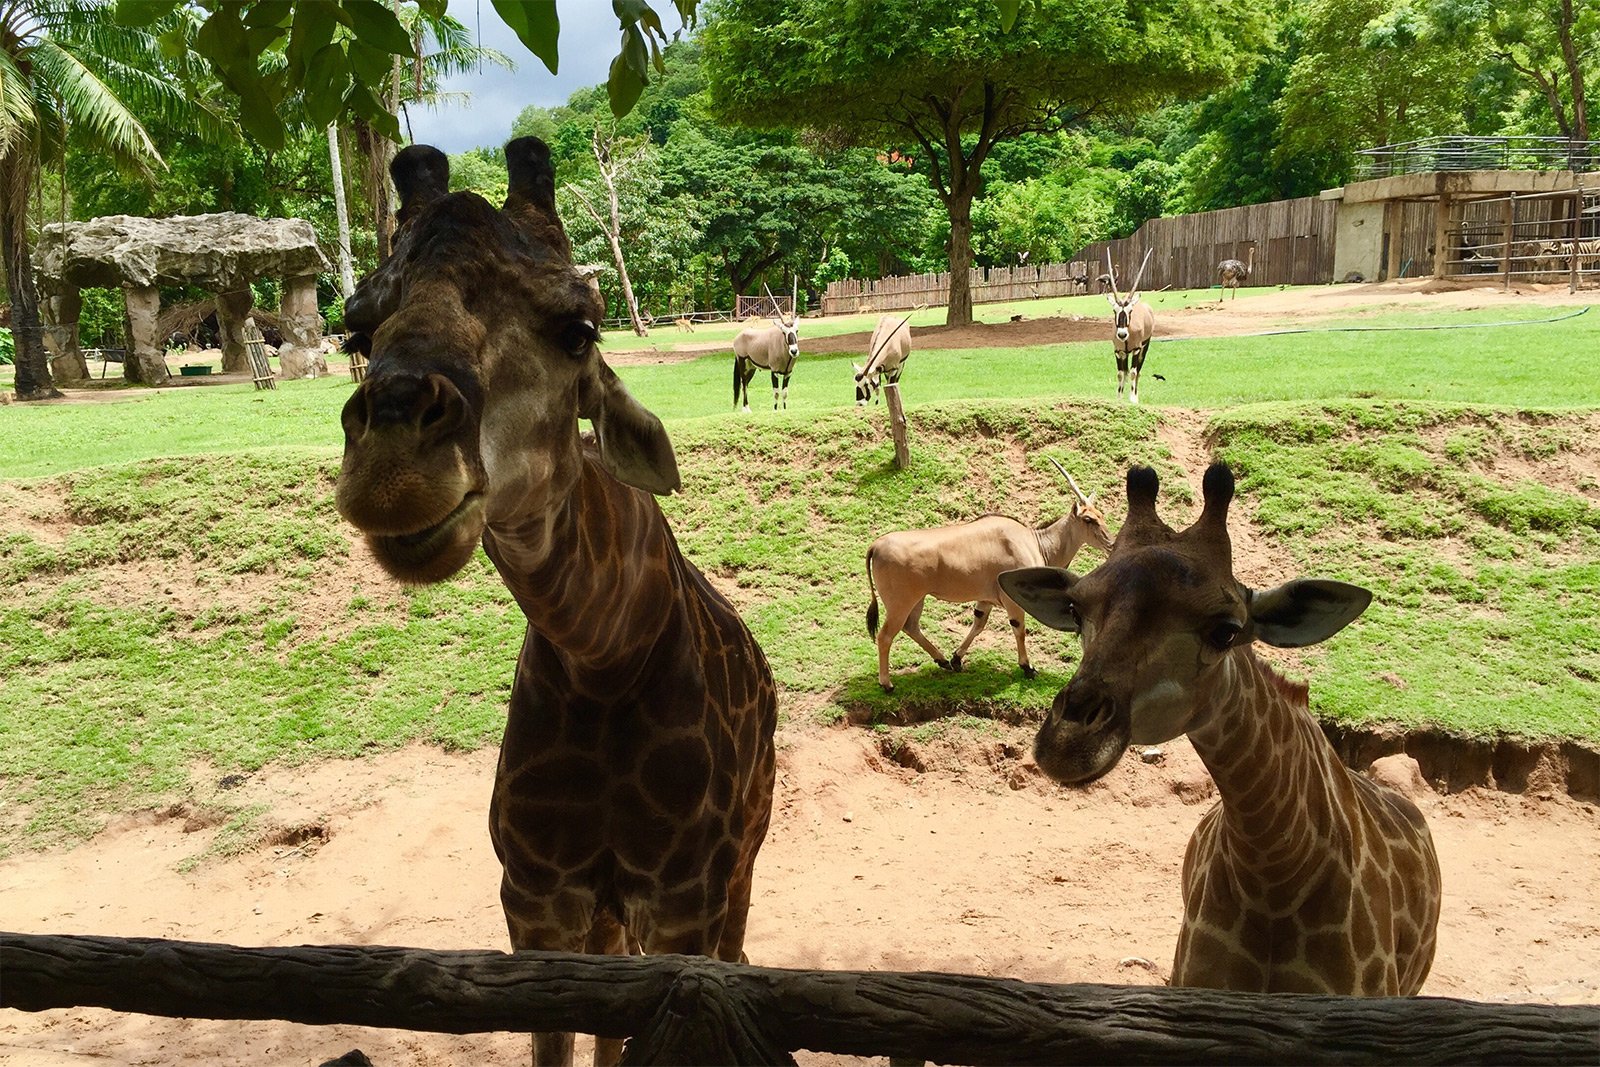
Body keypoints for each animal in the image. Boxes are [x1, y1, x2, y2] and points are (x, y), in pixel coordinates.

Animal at [334, 137, 777, 1062]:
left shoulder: (681, 897)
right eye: (358, 330)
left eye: (579, 330)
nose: (394, 470)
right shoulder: (536, 897)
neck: (604, 656)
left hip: (747, 848)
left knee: (741, 948)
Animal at [864, 460, 1113, 694]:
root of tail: (876, 545)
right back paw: (887, 684)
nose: (1111, 543)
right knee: (885, 636)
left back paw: (942, 660)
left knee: (911, 627)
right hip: (901, 603)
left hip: (918, 599)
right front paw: (1027, 668)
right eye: (1088, 519)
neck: (1034, 541)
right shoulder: (1012, 601)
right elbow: (1019, 629)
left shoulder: (985, 600)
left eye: (1101, 515)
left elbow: (978, 624)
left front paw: (956, 659)